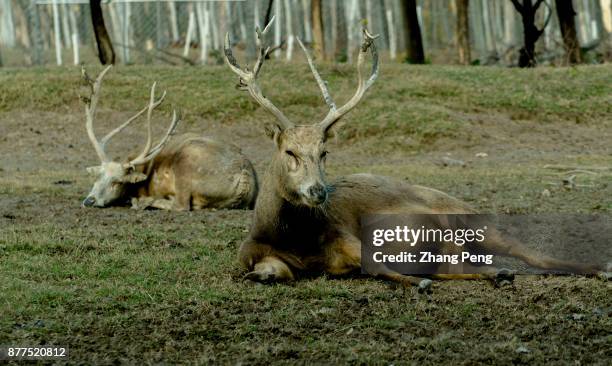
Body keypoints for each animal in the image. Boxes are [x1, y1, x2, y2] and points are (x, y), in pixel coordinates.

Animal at [80, 64, 256, 210]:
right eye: (97, 176)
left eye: (117, 182)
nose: (89, 200)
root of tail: (244, 178)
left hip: (185, 167)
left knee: (181, 205)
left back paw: (141, 202)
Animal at [224, 19, 608, 292]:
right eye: (289, 151)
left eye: (324, 151)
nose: (318, 192)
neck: (293, 237)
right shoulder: (253, 255)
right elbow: (267, 271)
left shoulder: (348, 237)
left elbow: (376, 266)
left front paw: (416, 283)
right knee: (464, 266)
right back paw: (498, 273)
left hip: (475, 222)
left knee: (530, 253)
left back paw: (599, 269)